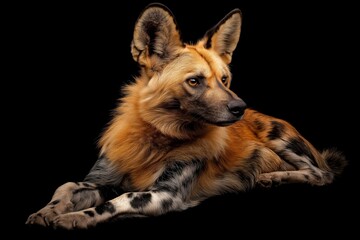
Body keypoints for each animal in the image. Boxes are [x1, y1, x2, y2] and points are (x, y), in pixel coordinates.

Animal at [24, 3, 346, 229]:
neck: (155, 135)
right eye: (194, 81)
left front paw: (76, 217)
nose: (240, 107)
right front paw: (48, 211)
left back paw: (276, 177)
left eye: (225, 79)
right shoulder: (103, 181)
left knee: (322, 174)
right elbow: (66, 187)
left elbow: (116, 202)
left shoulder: (164, 194)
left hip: (280, 138)